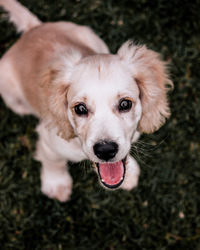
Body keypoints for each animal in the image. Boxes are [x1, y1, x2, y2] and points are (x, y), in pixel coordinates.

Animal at [0, 0, 172, 202]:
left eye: (125, 104)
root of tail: (33, 29)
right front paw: (56, 184)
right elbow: (53, 162)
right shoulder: (48, 142)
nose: (105, 150)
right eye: (80, 108)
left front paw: (129, 173)